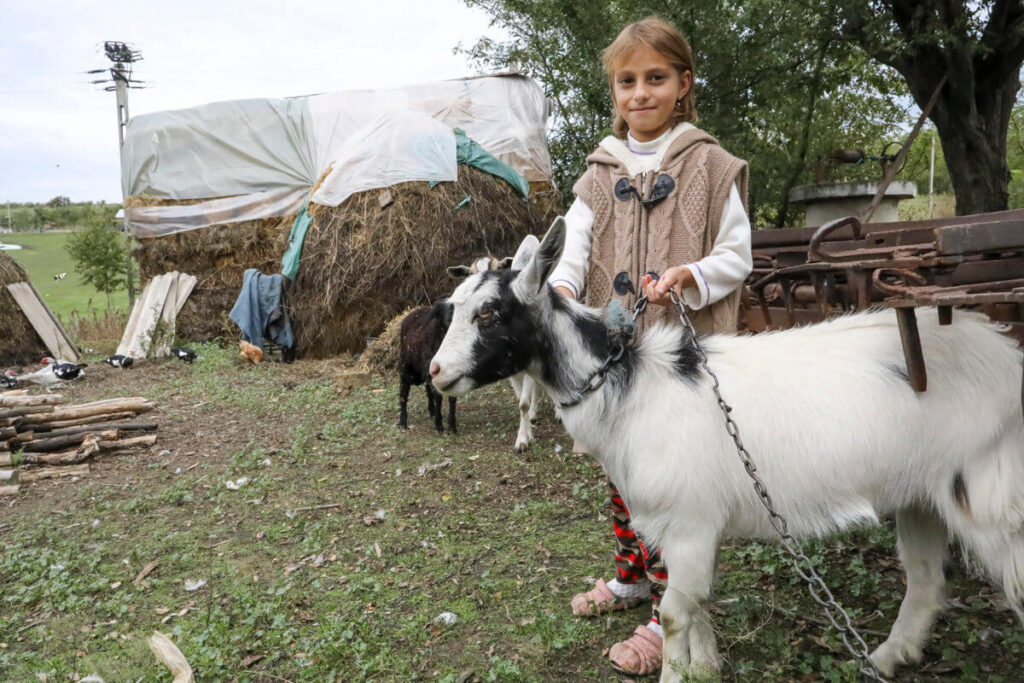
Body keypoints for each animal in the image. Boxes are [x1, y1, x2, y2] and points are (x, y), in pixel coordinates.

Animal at [399, 301, 456, 432]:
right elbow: (438, 397)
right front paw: (439, 426)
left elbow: (452, 398)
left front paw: (452, 427)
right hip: (406, 370)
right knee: (403, 395)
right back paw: (402, 421)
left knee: (428, 391)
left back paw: (432, 411)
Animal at [432, 219, 1024, 683]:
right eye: (453, 308)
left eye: (489, 313)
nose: (437, 372)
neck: (633, 390)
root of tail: (1005, 350)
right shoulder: (688, 527)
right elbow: (697, 603)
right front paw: (706, 666)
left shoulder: (689, 522)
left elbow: (675, 612)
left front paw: (680, 672)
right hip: (922, 493)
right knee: (925, 579)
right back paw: (886, 657)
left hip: (990, 494)